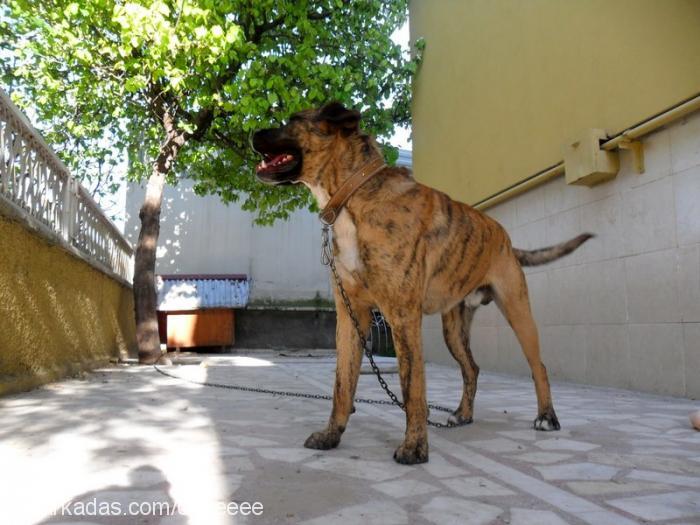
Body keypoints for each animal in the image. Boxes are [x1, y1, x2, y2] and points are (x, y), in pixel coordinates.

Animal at [252, 102, 592, 462]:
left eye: (293, 120)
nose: (252, 133)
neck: (354, 194)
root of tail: (507, 242)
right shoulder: (350, 317)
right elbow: (342, 384)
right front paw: (332, 434)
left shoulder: (403, 316)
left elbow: (413, 387)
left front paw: (415, 447)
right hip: (454, 329)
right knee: (472, 368)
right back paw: (463, 414)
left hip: (518, 311)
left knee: (538, 366)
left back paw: (546, 417)